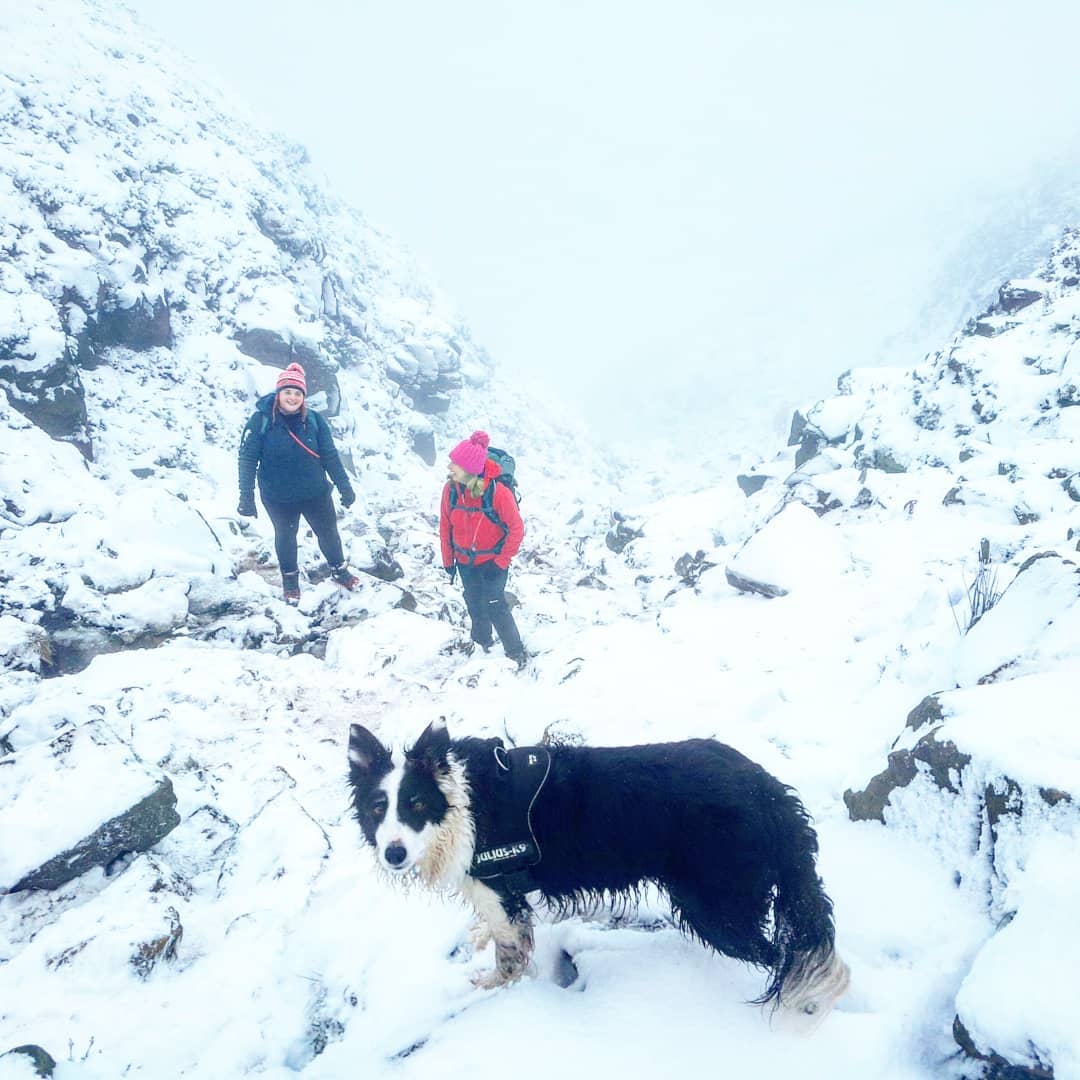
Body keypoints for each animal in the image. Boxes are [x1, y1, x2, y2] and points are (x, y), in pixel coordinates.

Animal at [347, 718, 849, 1029]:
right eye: (377, 809)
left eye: (415, 805)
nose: (393, 854)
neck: (460, 805)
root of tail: (768, 791)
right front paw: (479, 937)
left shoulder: (499, 889)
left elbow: (509, 955)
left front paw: (494, 989)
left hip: (714, 908)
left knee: (793, 957)